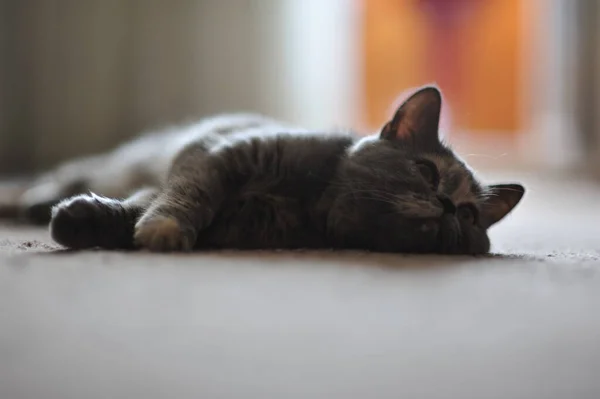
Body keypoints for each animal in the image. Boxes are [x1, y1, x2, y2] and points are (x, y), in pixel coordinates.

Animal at [0, 86, 524, 255]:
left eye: (470, 216)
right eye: (426, 172)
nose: (446, 205)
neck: (312, 204)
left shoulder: (234, 225)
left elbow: (135, 210)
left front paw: (81, 222)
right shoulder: (218, 152)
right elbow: (186, 194)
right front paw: (163, 229)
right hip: (110, 164)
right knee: (59, 176)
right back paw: (26, 199)